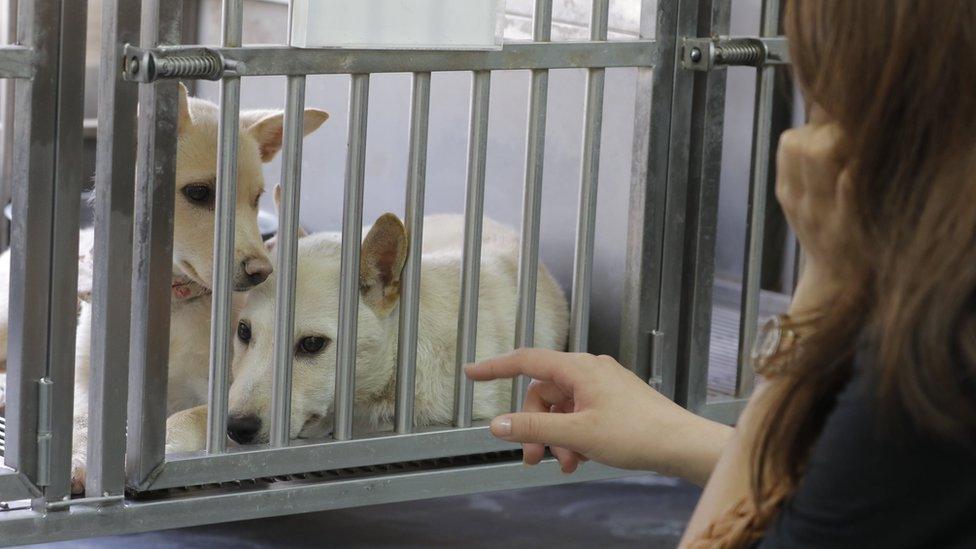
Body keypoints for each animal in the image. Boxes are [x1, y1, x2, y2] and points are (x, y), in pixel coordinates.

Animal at [0, 84, 328, 492]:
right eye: (199, 193)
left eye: (256, 199)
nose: (262, 271)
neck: (172, 303)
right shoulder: (87, 385)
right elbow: (80, 418)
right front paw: (77, 458)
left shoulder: (224, 398)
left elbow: (182, 419)